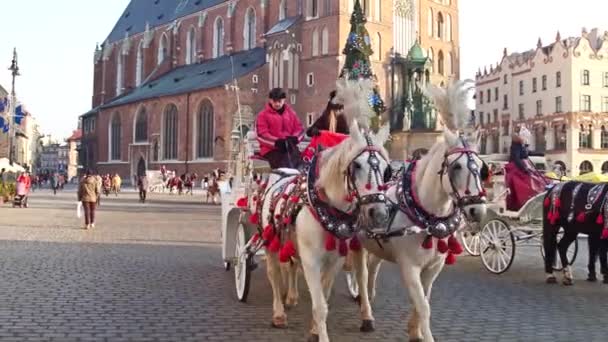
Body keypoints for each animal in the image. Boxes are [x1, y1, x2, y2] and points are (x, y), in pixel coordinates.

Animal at [248, 79, 394, 340]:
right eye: (356, 165)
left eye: (387, 170)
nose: (378, 213)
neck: (330, 210)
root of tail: (281, 172)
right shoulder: (311, 259)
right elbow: (320, 304)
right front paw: (319, 332)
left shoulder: (336, 258)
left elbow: (325, 297)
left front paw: (315, 328)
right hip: (270, 238)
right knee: (274, 274)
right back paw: (279, 313)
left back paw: (292, 297)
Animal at [352, 81, 490, 342]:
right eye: (456, 166)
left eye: (481, 168)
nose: (477, 209)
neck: (426, 217)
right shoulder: (409, 267)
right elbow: (423, 307)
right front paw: (423, 334)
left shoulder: (433, 268)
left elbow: (423, 301)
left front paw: (414, 331)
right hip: (356, 245)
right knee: (361, 276)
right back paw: (365, 312)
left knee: (373, 267)